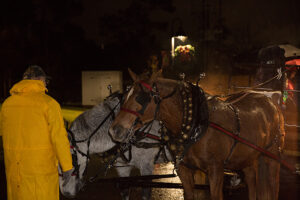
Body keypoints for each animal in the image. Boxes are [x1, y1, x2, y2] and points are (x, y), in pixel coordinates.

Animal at [109, 69, 284, 200]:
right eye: (124, 97)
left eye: (141, 98)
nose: (114, 130)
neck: (196, 125)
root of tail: (269, 101)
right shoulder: (184, 170)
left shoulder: (215, 170)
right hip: (247, 157)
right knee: (252, 180)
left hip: (272, 156)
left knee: (274, 185)